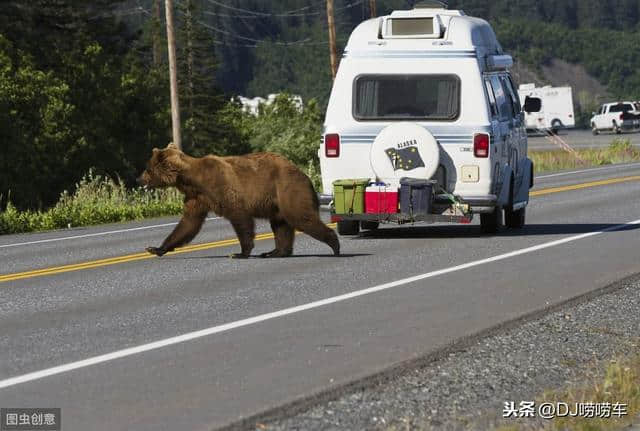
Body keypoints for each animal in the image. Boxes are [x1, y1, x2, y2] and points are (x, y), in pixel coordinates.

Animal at [136, 145, 340, 260]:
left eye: (147, 169)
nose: (139, 179)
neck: (190, 179)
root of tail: (303, 174)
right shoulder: (197, 198)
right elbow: (188, 224)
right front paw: (155, 248)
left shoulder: (221, 187)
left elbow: (240, 218)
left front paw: (239, 253)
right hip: (277, 202)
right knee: (281, 225)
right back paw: (274, 252)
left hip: (288, 189)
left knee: (300, 217)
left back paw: (335, 245)